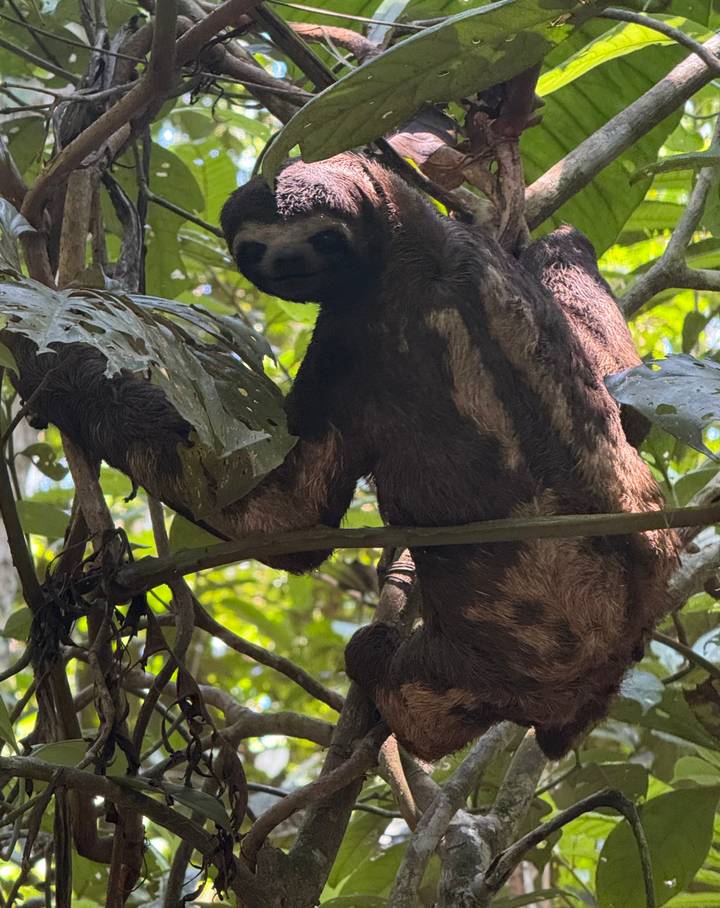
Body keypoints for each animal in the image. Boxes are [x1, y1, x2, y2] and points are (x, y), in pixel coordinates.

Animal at [220, 152, 679, 761]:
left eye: (324, 237)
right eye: (252, 246)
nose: (288, 260)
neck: (415, 245)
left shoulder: (349, 339)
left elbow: (283, 516)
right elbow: (627, 401)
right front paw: (556, 240)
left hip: (518, 657)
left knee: (420, 698)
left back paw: (382, 665)